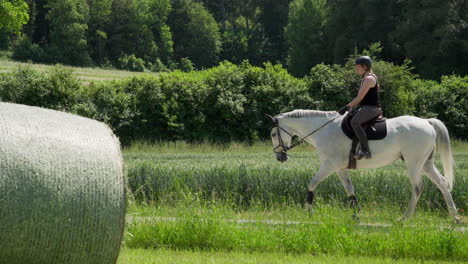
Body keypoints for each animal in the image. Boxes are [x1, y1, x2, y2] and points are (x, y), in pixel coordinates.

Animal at [268, 109, 458, 221]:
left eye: (273, 134)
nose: (279, 157)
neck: (323, 130)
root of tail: (427, 122)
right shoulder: (340, 169)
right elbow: (349, 189)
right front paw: (356, 213)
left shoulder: (329, 165)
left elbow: (312, 183)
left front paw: (308, 210)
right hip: (426, 164)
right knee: (442, 183)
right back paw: (454, 216)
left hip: (414, 163)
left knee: (418, 187)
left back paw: (404, 218)